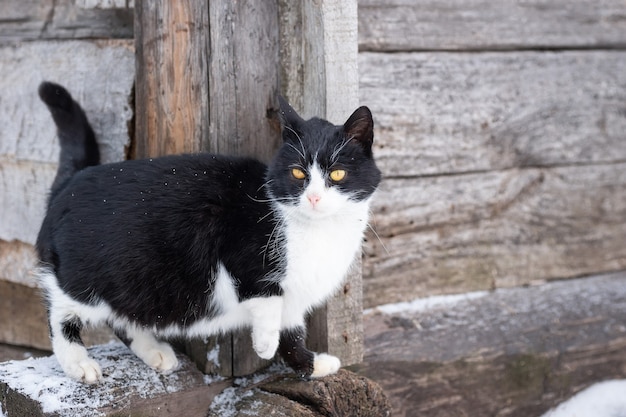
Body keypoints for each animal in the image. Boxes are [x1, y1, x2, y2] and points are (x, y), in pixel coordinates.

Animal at [35, 81, 380, 384]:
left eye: (337, 174)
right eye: (297, 172)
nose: (314, 197)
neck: (317, 230)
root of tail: (68, 185)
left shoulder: (295, 298)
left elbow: (292, 334)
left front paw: (312, 366)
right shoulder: (237, 249)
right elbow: (267, 298)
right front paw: (264, 343)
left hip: (134, 285)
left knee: (122, 317)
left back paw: (154, 350)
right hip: (85, 279)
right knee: (60, 312)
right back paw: (78, 363)